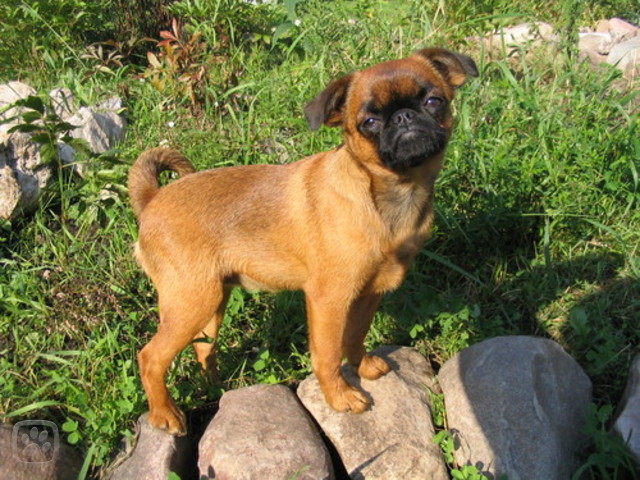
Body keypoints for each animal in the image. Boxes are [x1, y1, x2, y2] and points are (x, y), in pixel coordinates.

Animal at [128, 48, 478, 435]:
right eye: (369, 122)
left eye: (434, 101)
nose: (404, 117)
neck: (390, 194)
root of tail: (152, 199)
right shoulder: (329, 300)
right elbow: (327, 353)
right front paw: (340, 398)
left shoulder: (369, 293)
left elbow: (355, 335)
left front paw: (363, 367)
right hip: (191, 300)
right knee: (150, 357)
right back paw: (165, 414)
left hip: (212, 300)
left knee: (203, 348)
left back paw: (217, 389)